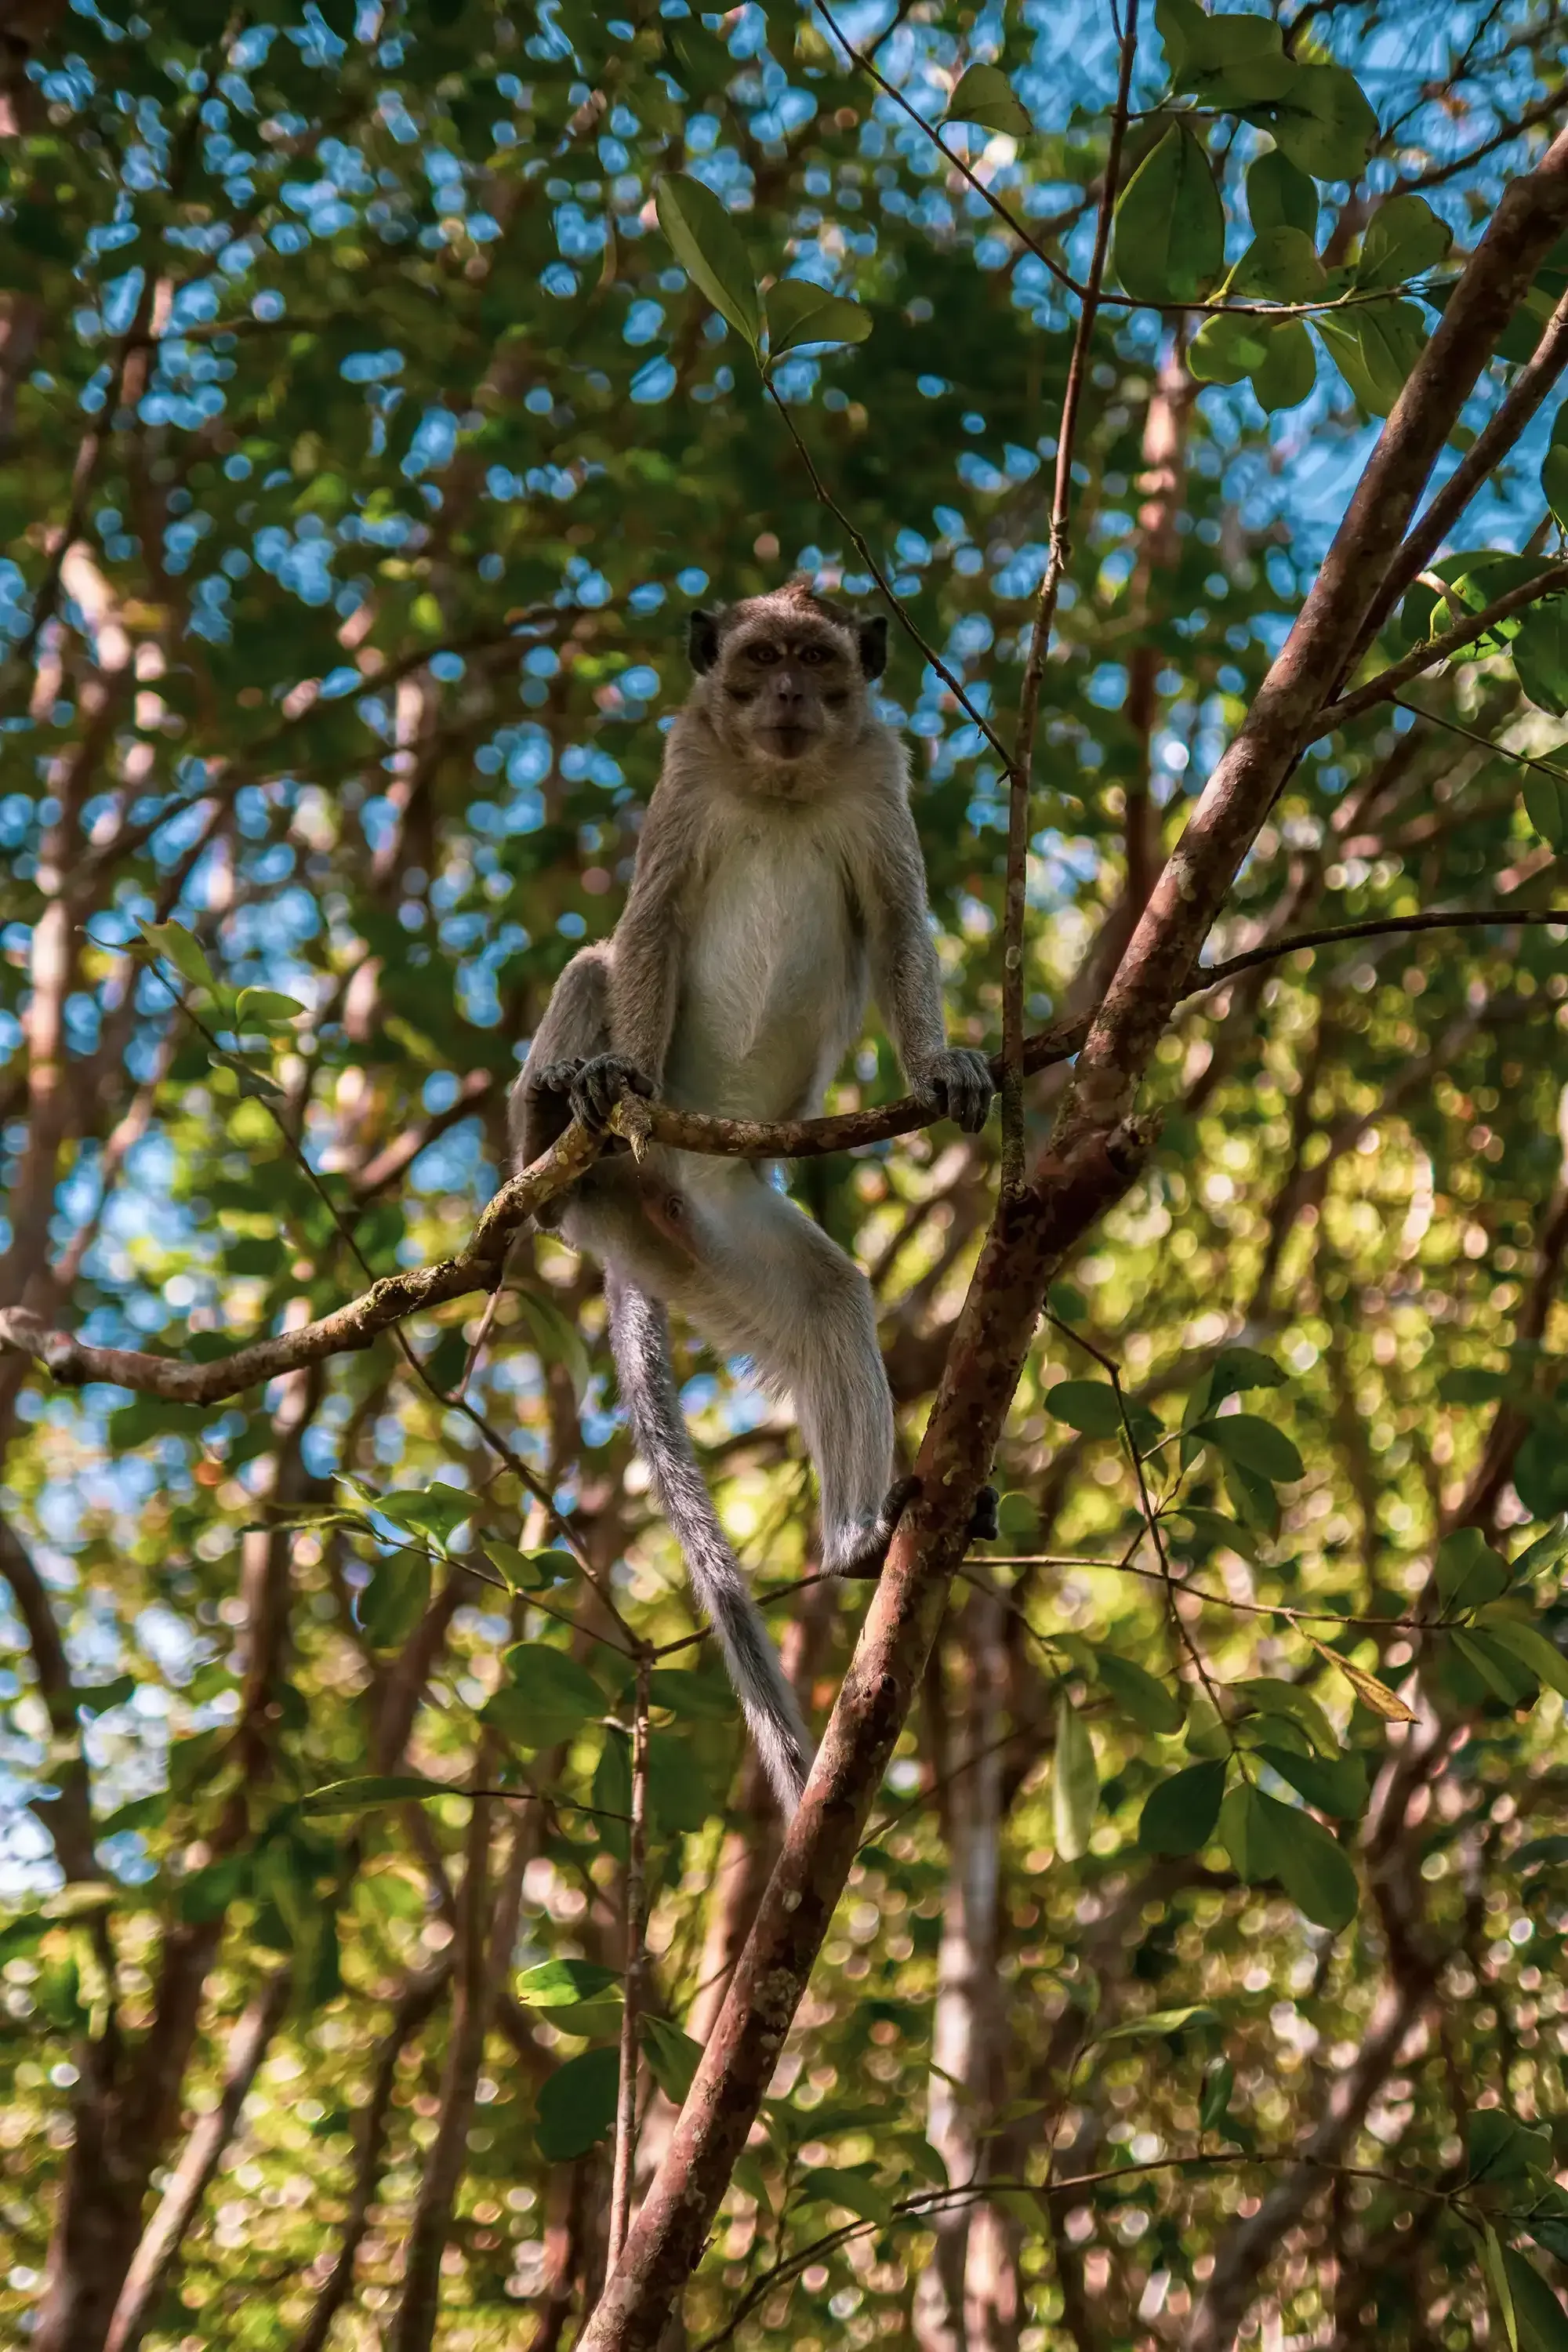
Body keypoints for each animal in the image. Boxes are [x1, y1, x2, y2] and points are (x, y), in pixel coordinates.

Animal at [509, 577, 995, 1816]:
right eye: (761, 656)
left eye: (814, 661)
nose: (784, 694)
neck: (780, 779)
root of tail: (645, 1195)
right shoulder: (685, 766)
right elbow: (648, 918)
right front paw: (614, 1076)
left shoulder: (880, 772)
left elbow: (899, 926)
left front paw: (943, 1067)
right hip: (615, 1188)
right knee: (591, 963)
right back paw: (552, 1130)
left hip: (716, 1232)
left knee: (827, 1302)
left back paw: (861, 1540)